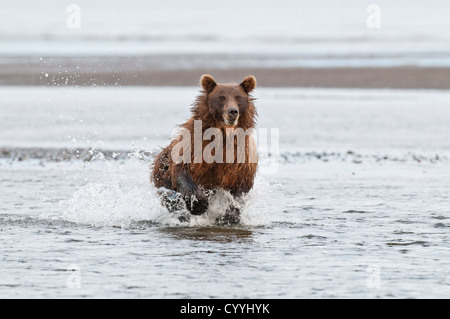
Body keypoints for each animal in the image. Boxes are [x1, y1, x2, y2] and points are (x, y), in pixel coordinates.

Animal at [150, 74, 256, 225]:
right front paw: (198, 205)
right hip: (161, 177)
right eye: (221, 97)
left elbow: (240, 190)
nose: (233, 111)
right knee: (171, 199)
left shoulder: (241, 160)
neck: (223, 135)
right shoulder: (194, 146)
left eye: (238, 97)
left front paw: (229, 216)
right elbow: (182, 170)